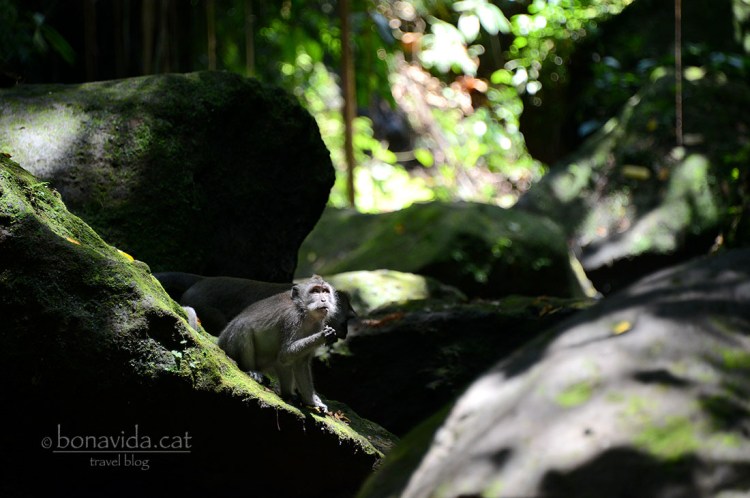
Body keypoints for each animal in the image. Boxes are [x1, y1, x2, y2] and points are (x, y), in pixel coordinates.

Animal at [218, 275, 338, 411]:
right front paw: (322, 336)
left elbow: (300, 363)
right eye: (315, 291)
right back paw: (252, 370)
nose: (323, 300)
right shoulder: (291, 318)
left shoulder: (317, 324)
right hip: (228, 343)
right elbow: (286, 353)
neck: (304, 311)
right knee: (243, 327)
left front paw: (312, 401)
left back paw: (288, 395)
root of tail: (219, 342)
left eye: (325, 291)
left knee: (281, 363)